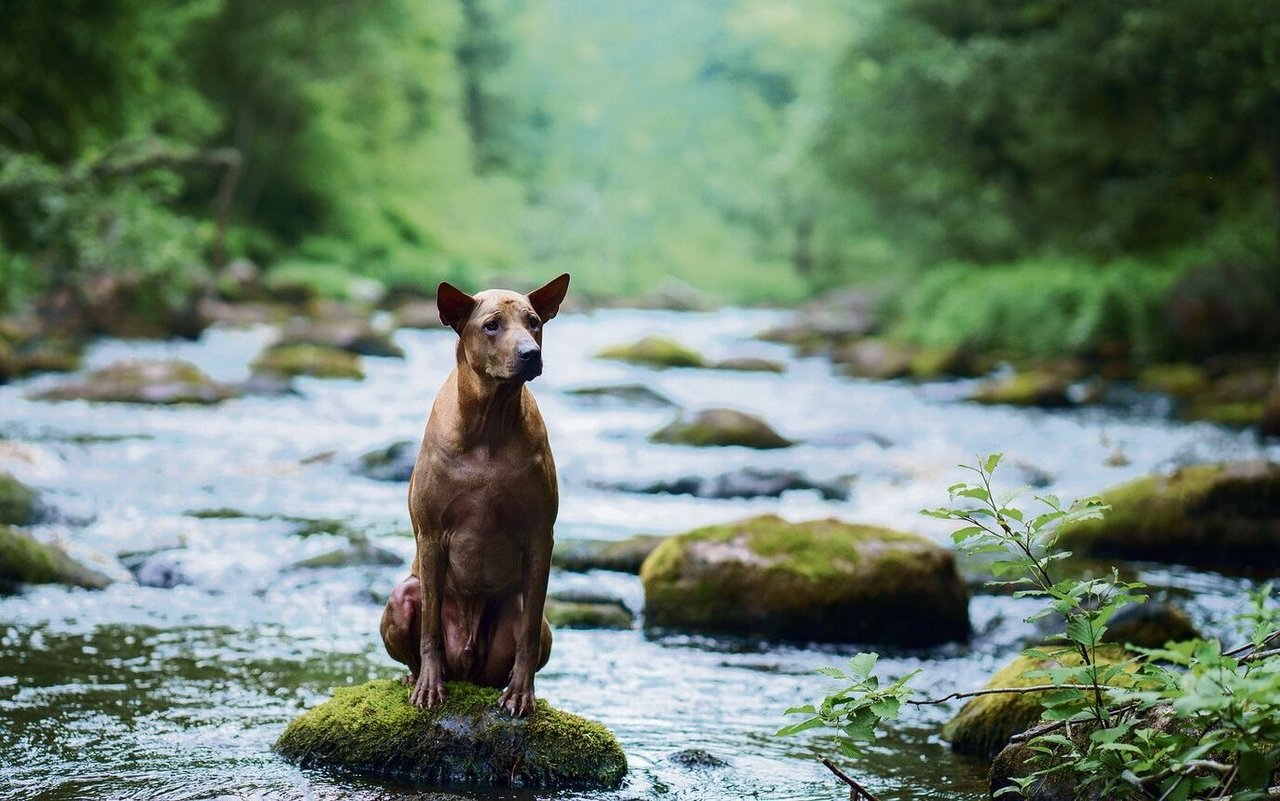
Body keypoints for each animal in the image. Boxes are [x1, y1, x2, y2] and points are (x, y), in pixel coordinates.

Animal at [378, 271, 570, 716]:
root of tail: (468, 668)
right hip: (401, 598)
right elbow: (430, 629)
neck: (489, 424)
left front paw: (521, 693)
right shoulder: (432, 536)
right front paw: (428, 687)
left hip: (521, 618)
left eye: (534, 322)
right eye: (492, 325)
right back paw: (416, 676)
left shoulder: (540, 535)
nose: (531, 354)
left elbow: (528, 632)